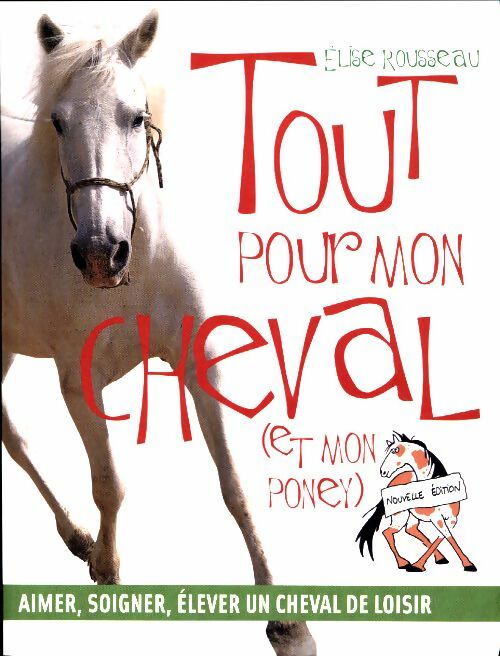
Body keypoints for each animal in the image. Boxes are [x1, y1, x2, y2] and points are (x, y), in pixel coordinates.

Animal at [1, 11, 315, 655]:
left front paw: (286, 622)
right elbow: (109, 484)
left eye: (135, 116)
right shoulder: (79, 385)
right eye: (58, 121)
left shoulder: (199, 359)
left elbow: (235, 485)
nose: (101, 253)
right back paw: (78, 536)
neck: (131, 279)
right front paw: (107, 565)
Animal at [356, 431, 476, 572]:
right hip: (401, 515)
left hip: (412, 516)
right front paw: (417, 565)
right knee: (388, 532)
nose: (383, 472)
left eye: (395, 450)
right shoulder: (437, 518)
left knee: (411, 530)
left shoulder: (452, 519)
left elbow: (444, 536)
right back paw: (403, 563)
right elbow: (447, 536)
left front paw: (467, 564)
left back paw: (439, 558)